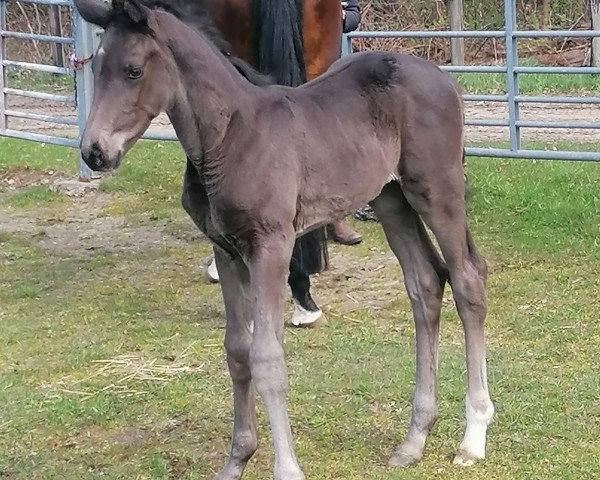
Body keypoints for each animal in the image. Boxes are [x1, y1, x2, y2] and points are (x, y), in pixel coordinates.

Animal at [72, 1, 494, 478]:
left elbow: (267, 359)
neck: (228, 136)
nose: (94, 152)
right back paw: (414, 439)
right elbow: (238, 351)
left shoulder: (270, 247)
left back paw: (473, 436)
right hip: (391, 199)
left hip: (436, 191)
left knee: (467, 279)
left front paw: (286, 467)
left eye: (132, 70)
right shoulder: (227, 251)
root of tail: (443, 78)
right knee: (425, 283)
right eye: (95, 66)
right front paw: (237, 459)